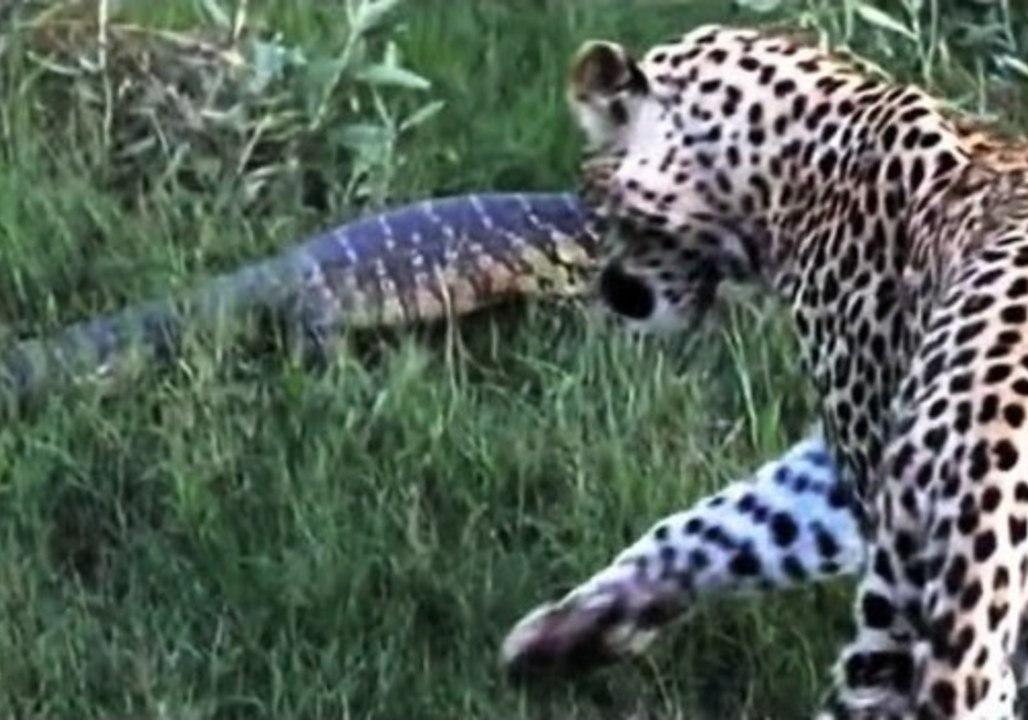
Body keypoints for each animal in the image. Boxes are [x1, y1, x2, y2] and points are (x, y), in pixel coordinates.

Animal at [500, 23, 1028, 719]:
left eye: (600, 205)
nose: (610, 294)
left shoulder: (871, 464)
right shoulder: (849, 467)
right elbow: (727, 523)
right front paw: (582, 626)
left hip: (902, 612)